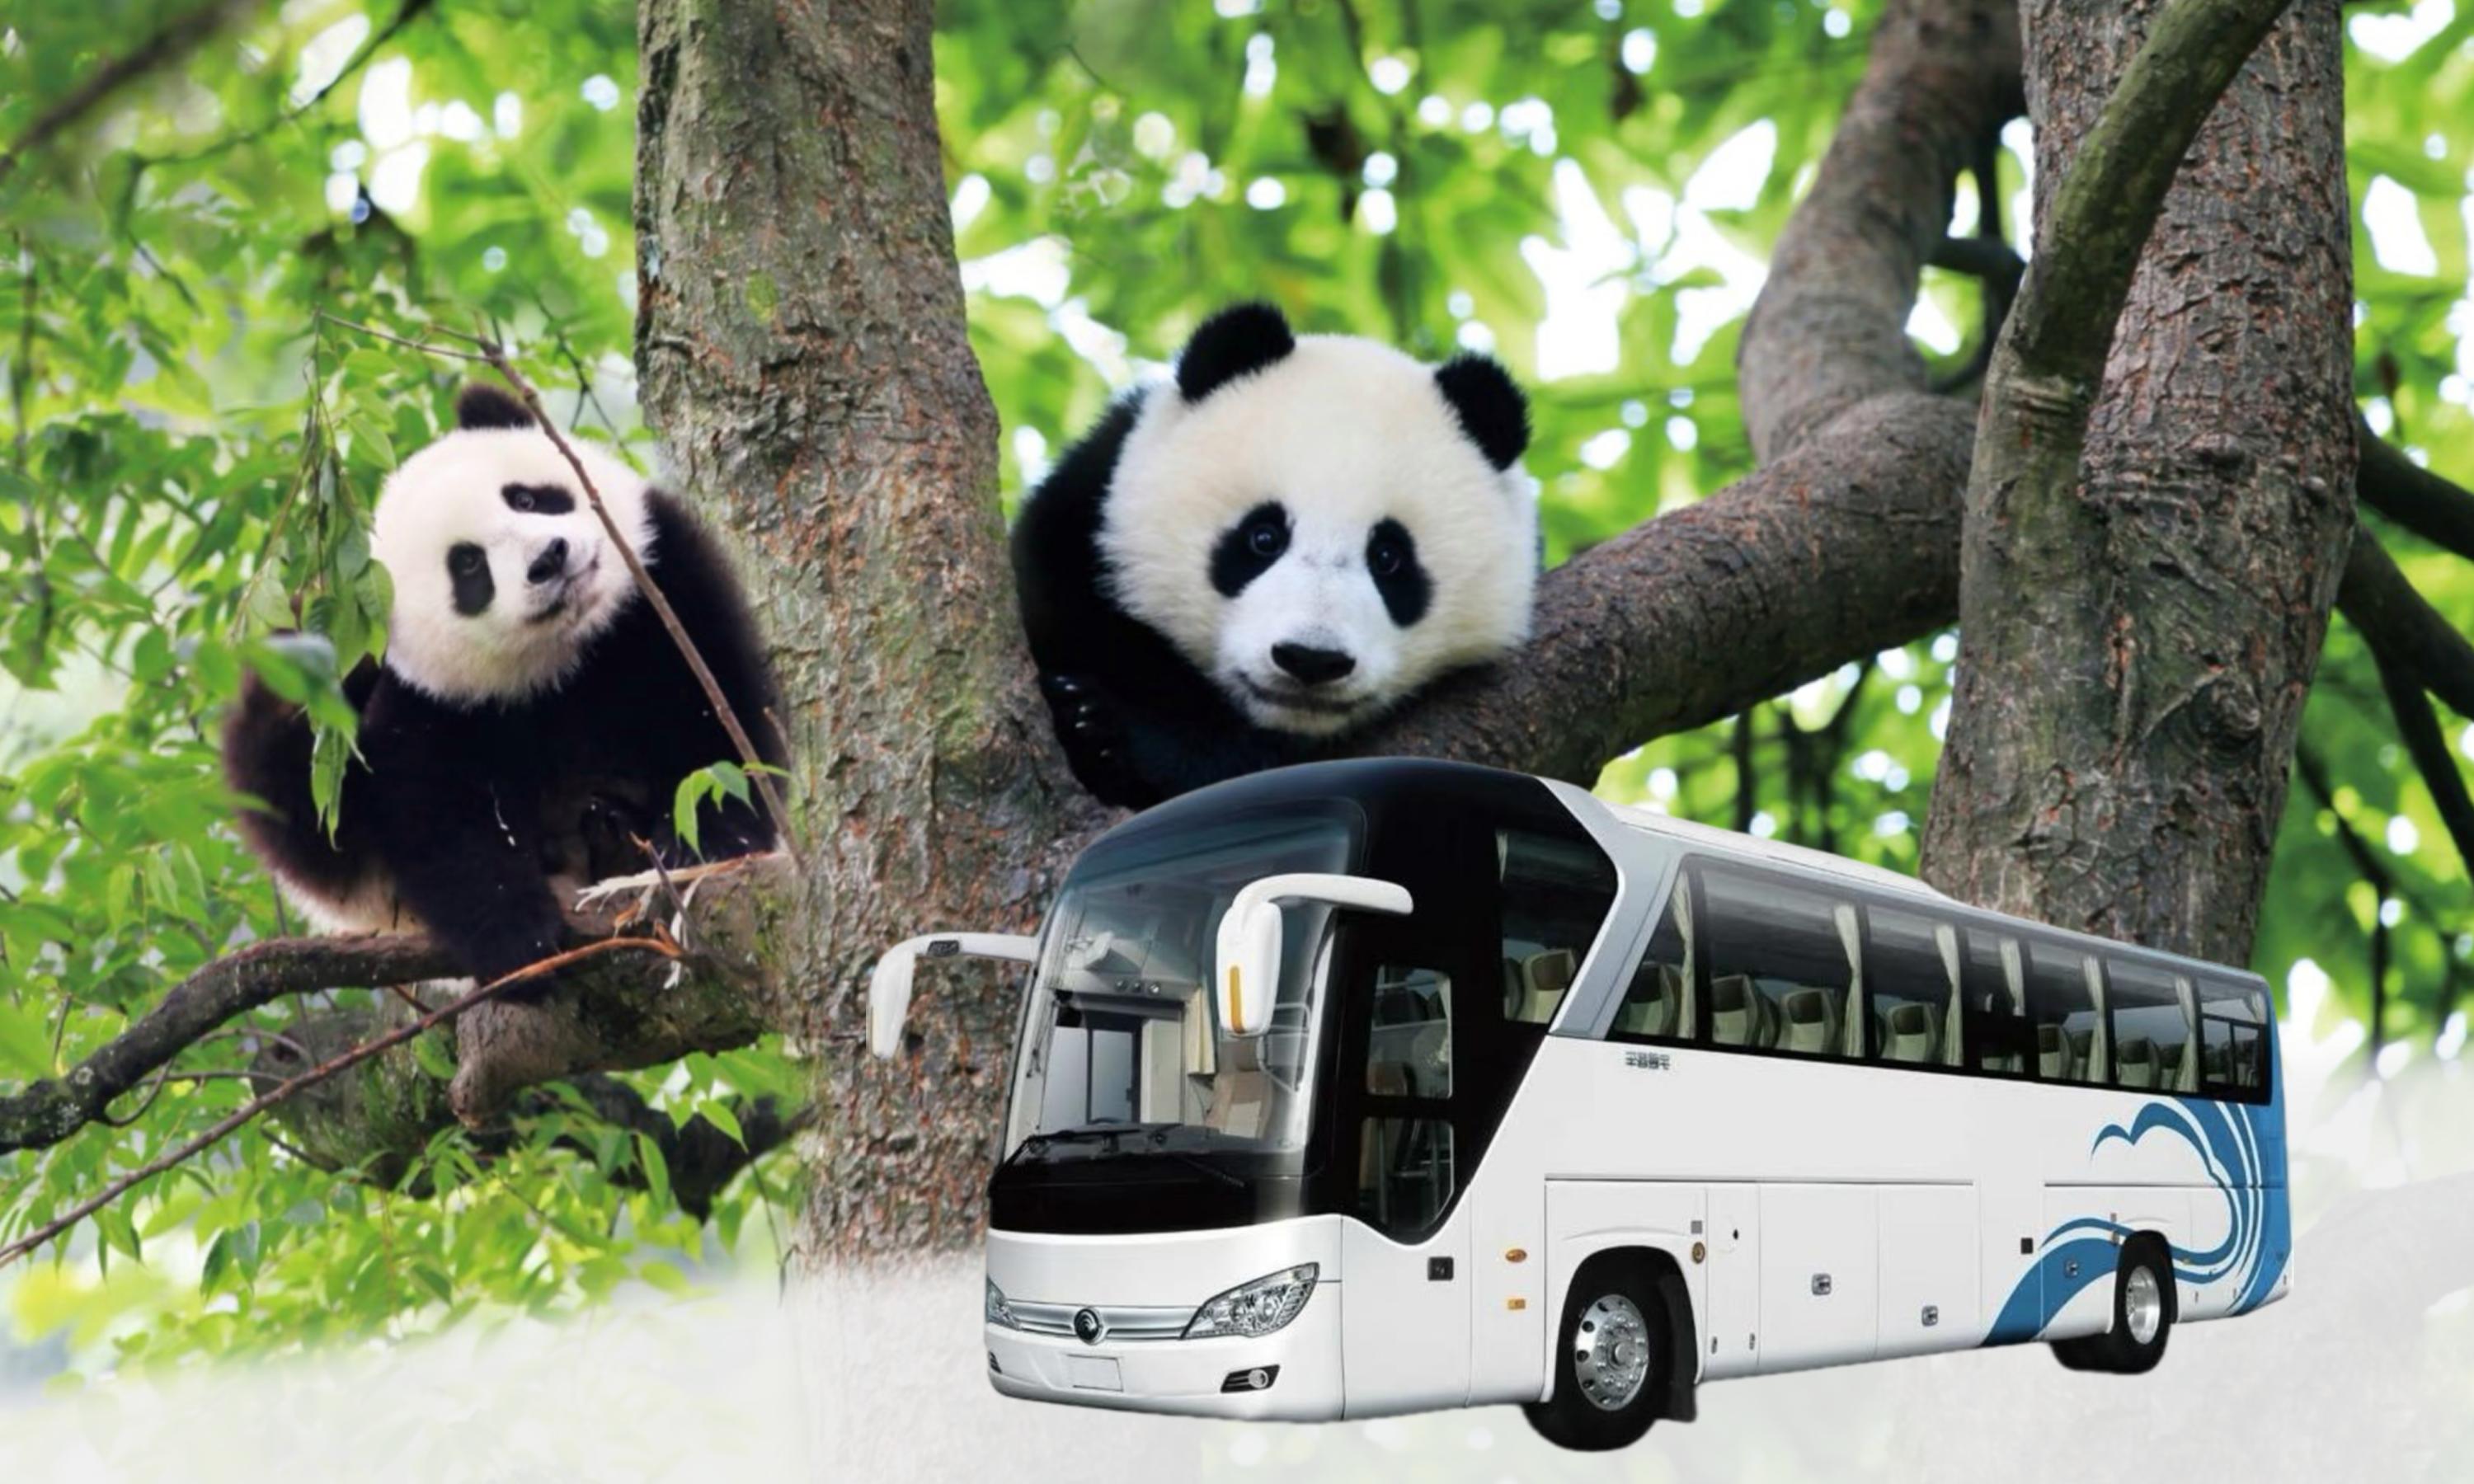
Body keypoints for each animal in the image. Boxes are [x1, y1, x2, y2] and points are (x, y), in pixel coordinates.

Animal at [222, 384, 785, 995]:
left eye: (526, 498)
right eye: (469, 565)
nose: (548, 559)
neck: (567, 656)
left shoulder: (662, 587)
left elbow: (716, 715)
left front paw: (706, 839)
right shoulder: (432, 701)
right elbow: (437, 818)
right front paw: (521, 942)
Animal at [1011, 301, 1537, 809]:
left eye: (1389, 557)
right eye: (1264, 538)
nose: (1311, 659)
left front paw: (1120, 733)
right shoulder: (1083, 516)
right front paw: (1093, 720)